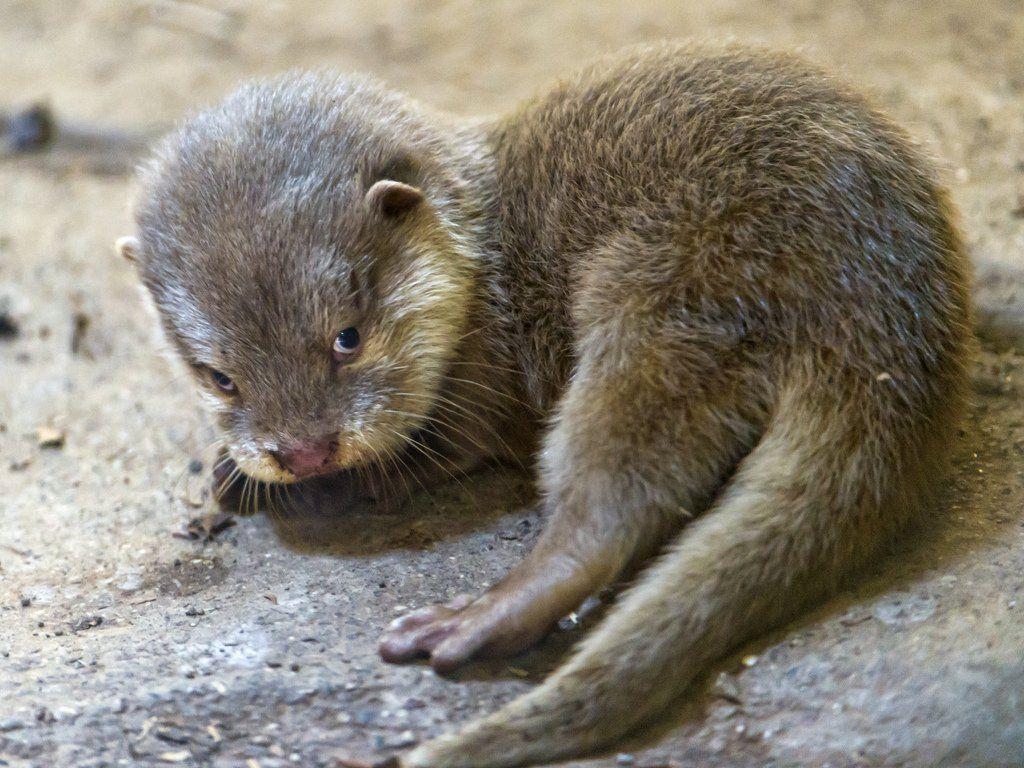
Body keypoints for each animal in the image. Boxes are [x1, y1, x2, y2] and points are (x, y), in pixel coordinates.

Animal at [117, 43, 966, 768]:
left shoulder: (477, 383)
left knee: (610, 504)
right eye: (219, 376)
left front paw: (254, 485)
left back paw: (482, 617)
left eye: (347, 338)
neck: (483, 258)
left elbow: (414, 458)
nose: (303, 450)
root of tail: (889, 311)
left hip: (675, 293)